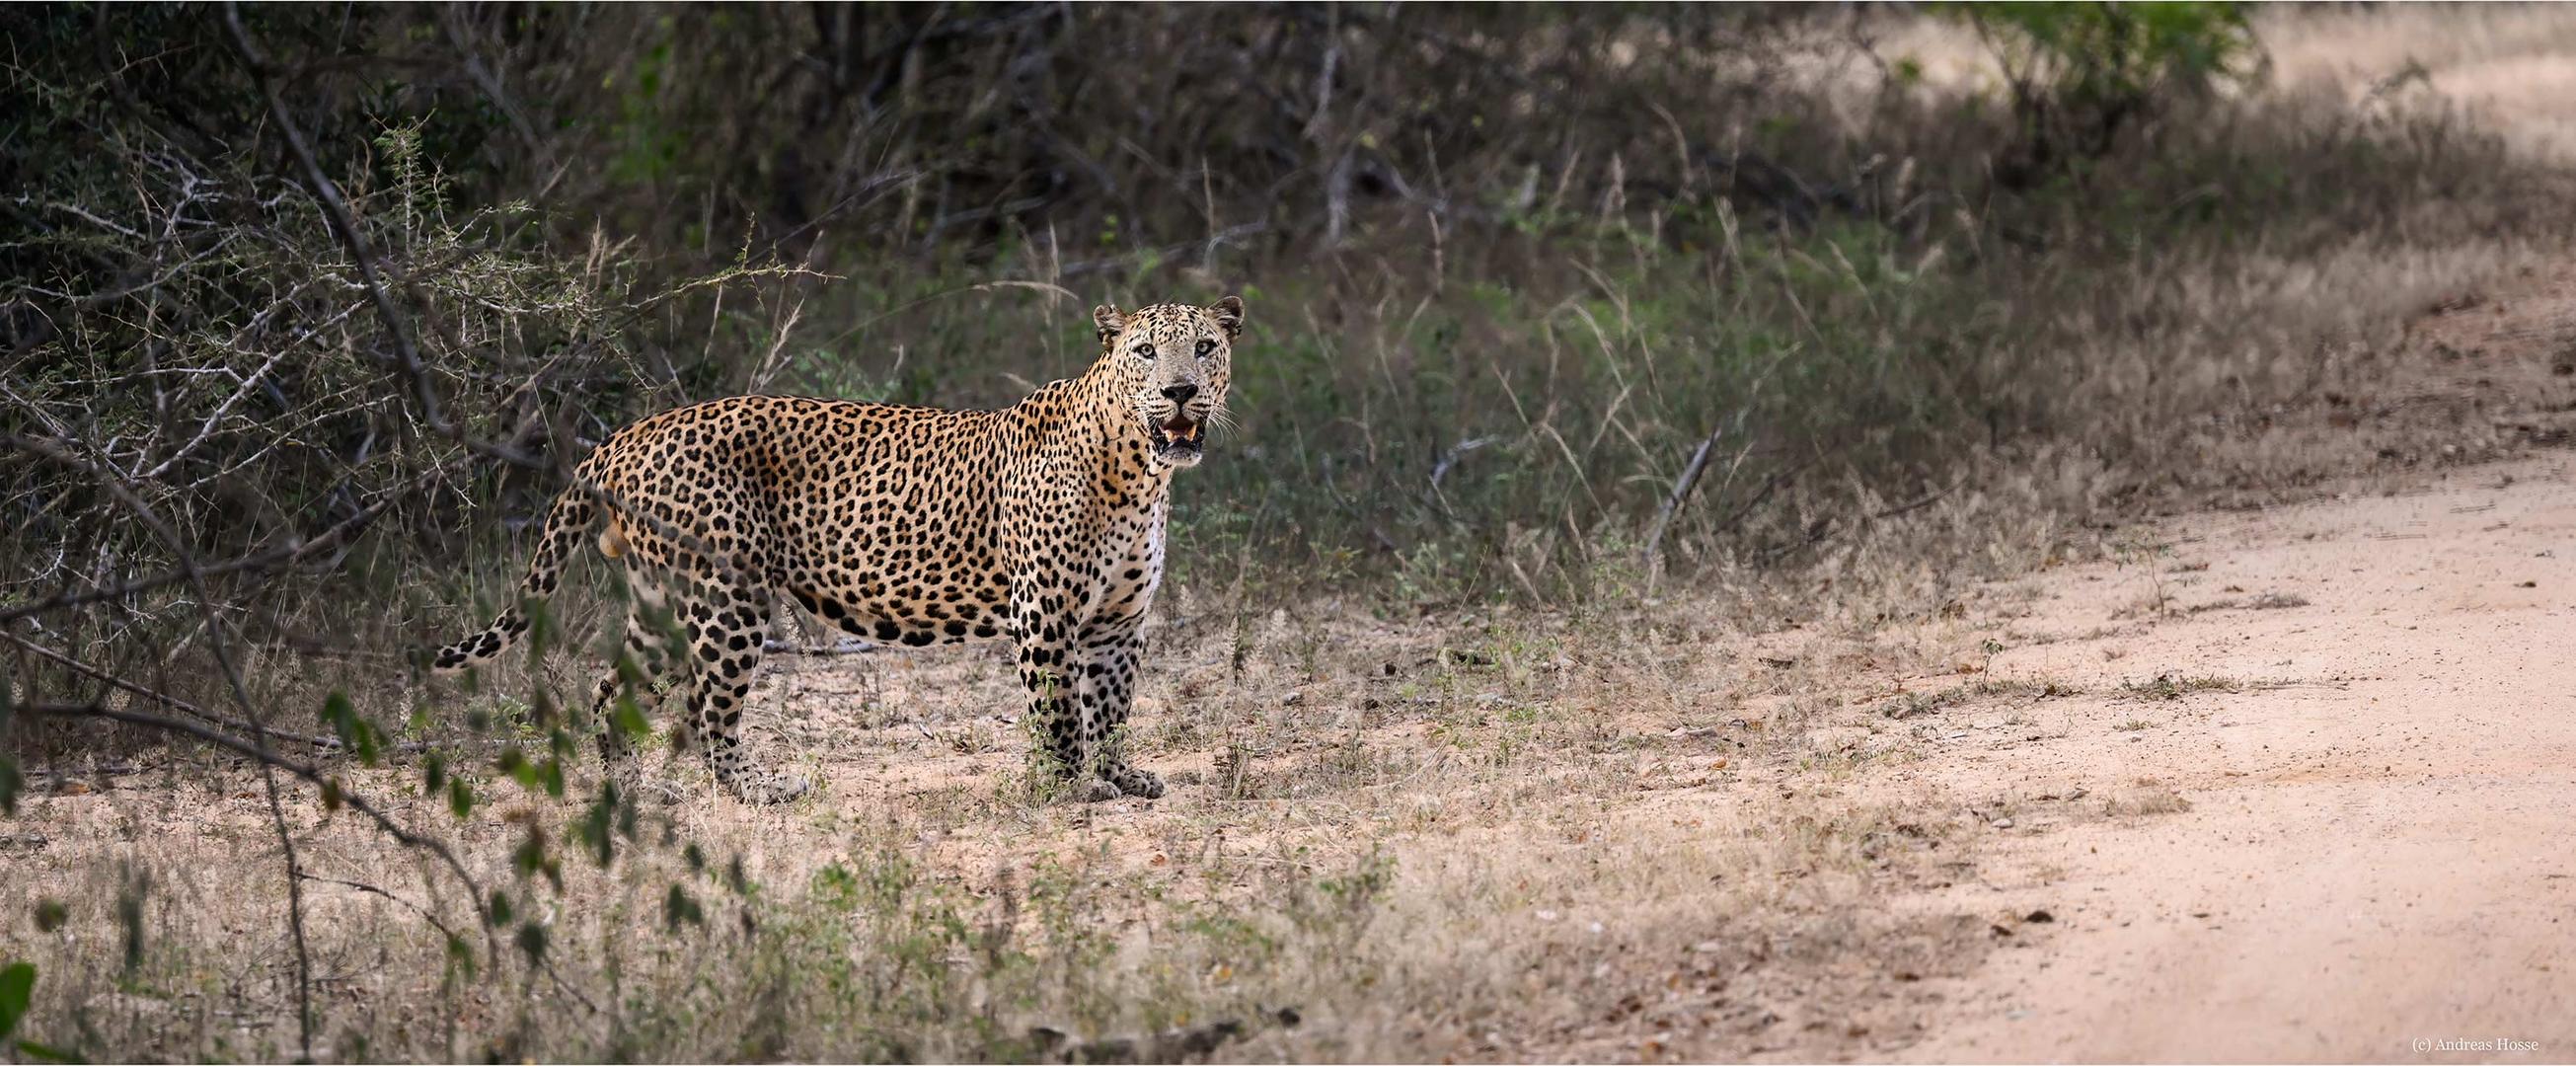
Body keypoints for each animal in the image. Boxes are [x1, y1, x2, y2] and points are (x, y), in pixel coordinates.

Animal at [432, 296, 1247, 802]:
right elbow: (1059, 712)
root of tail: (628, 436)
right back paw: (760, 791)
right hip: (729, 599)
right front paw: (1072, 787)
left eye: (1205, 347)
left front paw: (1122, 775)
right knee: (707, 708)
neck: (1138, 473)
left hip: (662, 600)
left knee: (611, 691)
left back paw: (632, 790)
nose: (1180, 390)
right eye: (1145, 351)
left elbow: (1111, 706)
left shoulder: (1118, 621)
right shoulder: (1044, 613)